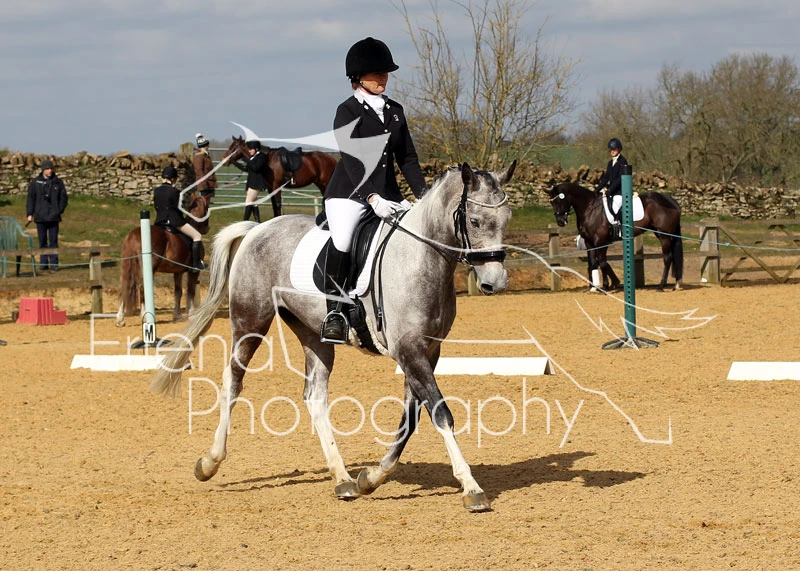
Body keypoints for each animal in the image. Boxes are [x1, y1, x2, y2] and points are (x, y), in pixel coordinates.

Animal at [115, 192, 212, 326]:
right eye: (208, 208)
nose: (207, 229)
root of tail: (134, 234)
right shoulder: (194, 271)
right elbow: (190, 290)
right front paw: (192, 314)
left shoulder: (178, 272)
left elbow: (178, 292)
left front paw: (177, 316)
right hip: (149, 268)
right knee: (142, 287)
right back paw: (145, 317)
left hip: (128, 266)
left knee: (125, 287)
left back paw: (120, 319)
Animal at [151, 161, 517, 512]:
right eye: (474, 221)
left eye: (506, 219)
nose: (495, 283)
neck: (420, 258)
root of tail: (258, 229)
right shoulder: (409, 350)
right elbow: (440, 413)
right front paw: (472, 488)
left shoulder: (427, 351)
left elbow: (412, 418)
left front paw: (371, 477)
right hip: (250, 321)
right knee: (233, 382)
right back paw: (209, 463)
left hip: (315, 335)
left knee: (315, 397)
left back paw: (343, 479)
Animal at [548, 182, 683, 291]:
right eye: (552, 202)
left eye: (560, 200)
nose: (560, 222)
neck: (590, 209)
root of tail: (672, 201)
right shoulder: (589, 242)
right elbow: (594, 262)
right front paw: (596, 287)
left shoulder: (600, 241)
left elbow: (602, 262)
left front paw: (608, 285)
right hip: (661, 233)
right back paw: (676, 284)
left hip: (664, 236)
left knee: (667, 258)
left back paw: (661, 286)